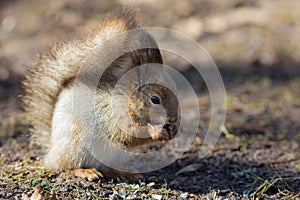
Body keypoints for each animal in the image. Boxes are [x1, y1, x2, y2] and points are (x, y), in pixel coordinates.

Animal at [23, 9, 179, 180]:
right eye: (155, 99)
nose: (173, 119)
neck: (127, 99)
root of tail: (52, 147)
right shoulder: (113, 115)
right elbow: (129, 133)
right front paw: (156, 131)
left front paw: (174, 129)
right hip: (75, 147)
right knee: (63, 166)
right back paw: (83, 171)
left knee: (106, 169)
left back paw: (125, 173)